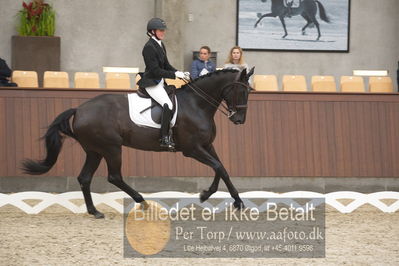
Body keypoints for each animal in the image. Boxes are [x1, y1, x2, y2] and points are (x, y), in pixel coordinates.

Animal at [21, 68, 255, 218]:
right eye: (241, 91)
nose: (239, 120)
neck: (196, 104)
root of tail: (79, 109)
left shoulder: (207, 146)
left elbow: (221, 168)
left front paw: (215, 196)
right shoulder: (192, 149)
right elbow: (218, 167)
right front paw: (232, 201)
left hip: (94, 150)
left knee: (85, 178)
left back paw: (95, 211)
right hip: (111, 148)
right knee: (114, 176)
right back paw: (142, 202)